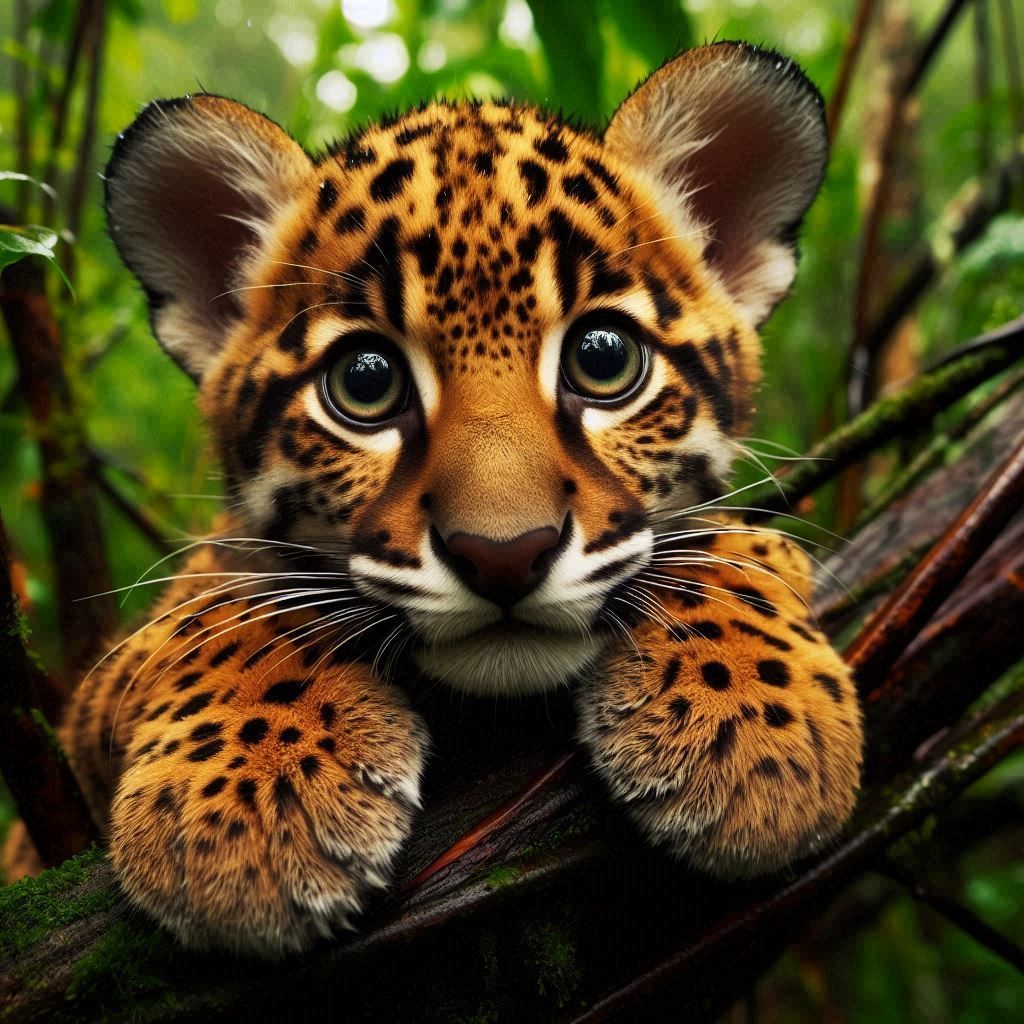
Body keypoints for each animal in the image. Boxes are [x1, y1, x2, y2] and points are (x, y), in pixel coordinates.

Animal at [2, 41, 863, 957]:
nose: (505, 555)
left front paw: (754, 726)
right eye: (365, 382)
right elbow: (220, 608)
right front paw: (248, 808)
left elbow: (713, 547)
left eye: (603, 359)